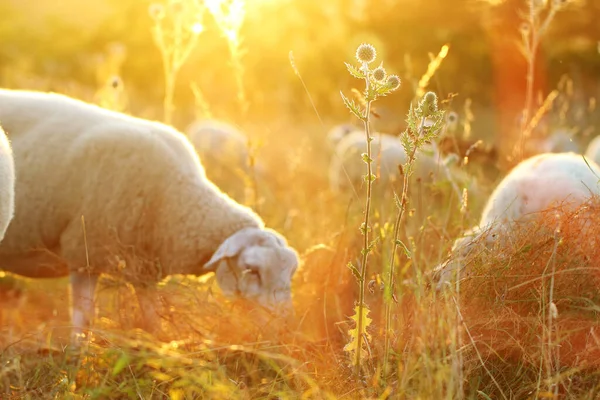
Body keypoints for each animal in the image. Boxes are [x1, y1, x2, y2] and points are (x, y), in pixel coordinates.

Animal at [0, 89, 300, 340]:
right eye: (252, 269)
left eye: (291, 272)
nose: (284, 327)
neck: (175, 198)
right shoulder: (85, 253)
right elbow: (84, 319)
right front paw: (74, 363)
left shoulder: (143, 270)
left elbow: (152, 320)